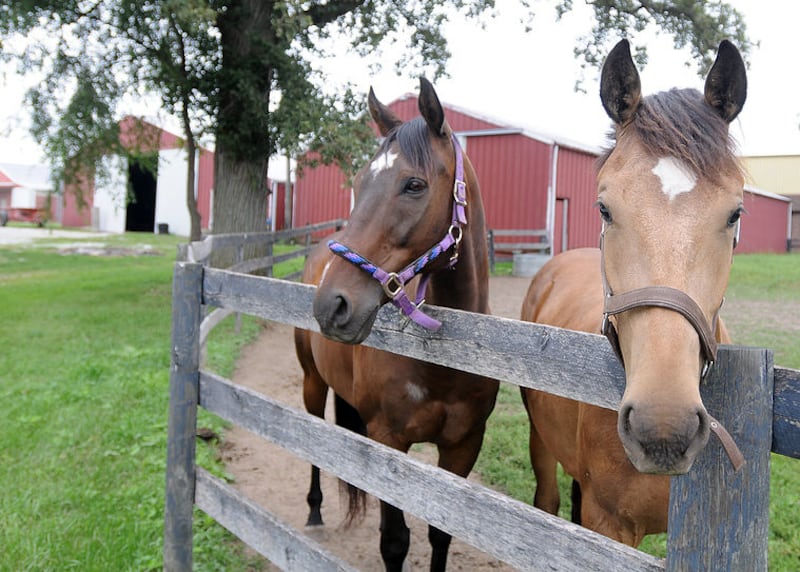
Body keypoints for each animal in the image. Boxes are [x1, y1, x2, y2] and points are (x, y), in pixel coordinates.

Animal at [294, 77, 498, 571]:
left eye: (414, 184)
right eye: (359, 183)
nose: (332, 305)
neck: (442, 369)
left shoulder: (464, 446)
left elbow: (441, 535)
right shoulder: (390, 441)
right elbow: (394, 541)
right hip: (312, 383)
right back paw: (314, 511)